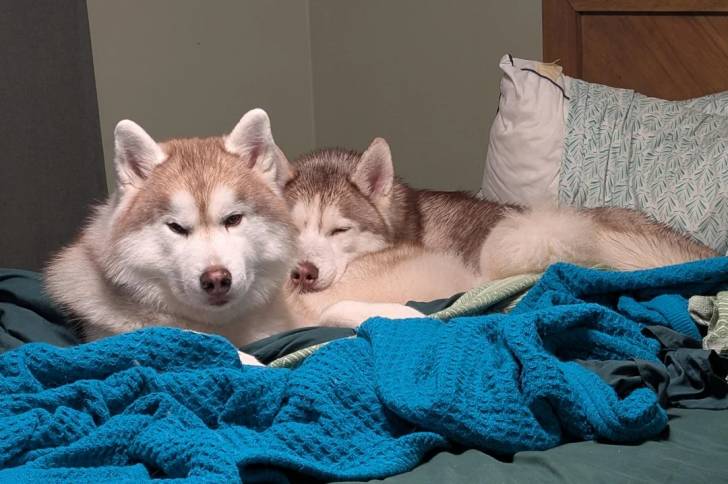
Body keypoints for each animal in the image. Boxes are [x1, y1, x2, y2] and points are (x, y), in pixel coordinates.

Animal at [45, 110, 475, 350]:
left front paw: (412, 316)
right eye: (176, 227)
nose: (216, 279)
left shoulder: (304, 311)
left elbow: (336, 309)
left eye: (233, 219)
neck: (229, 325)